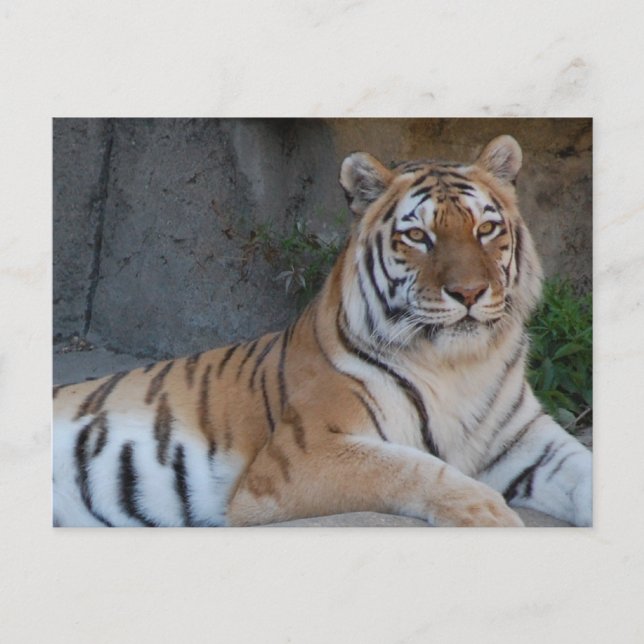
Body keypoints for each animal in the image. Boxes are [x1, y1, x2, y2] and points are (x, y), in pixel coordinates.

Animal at [53, 135, 592, 528]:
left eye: (485, 229)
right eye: (418, 236)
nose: (469, 292)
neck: (460, 365)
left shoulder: (527, 441)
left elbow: (586, 468)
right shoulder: (302, 456)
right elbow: (411, 467)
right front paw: (488, 513)